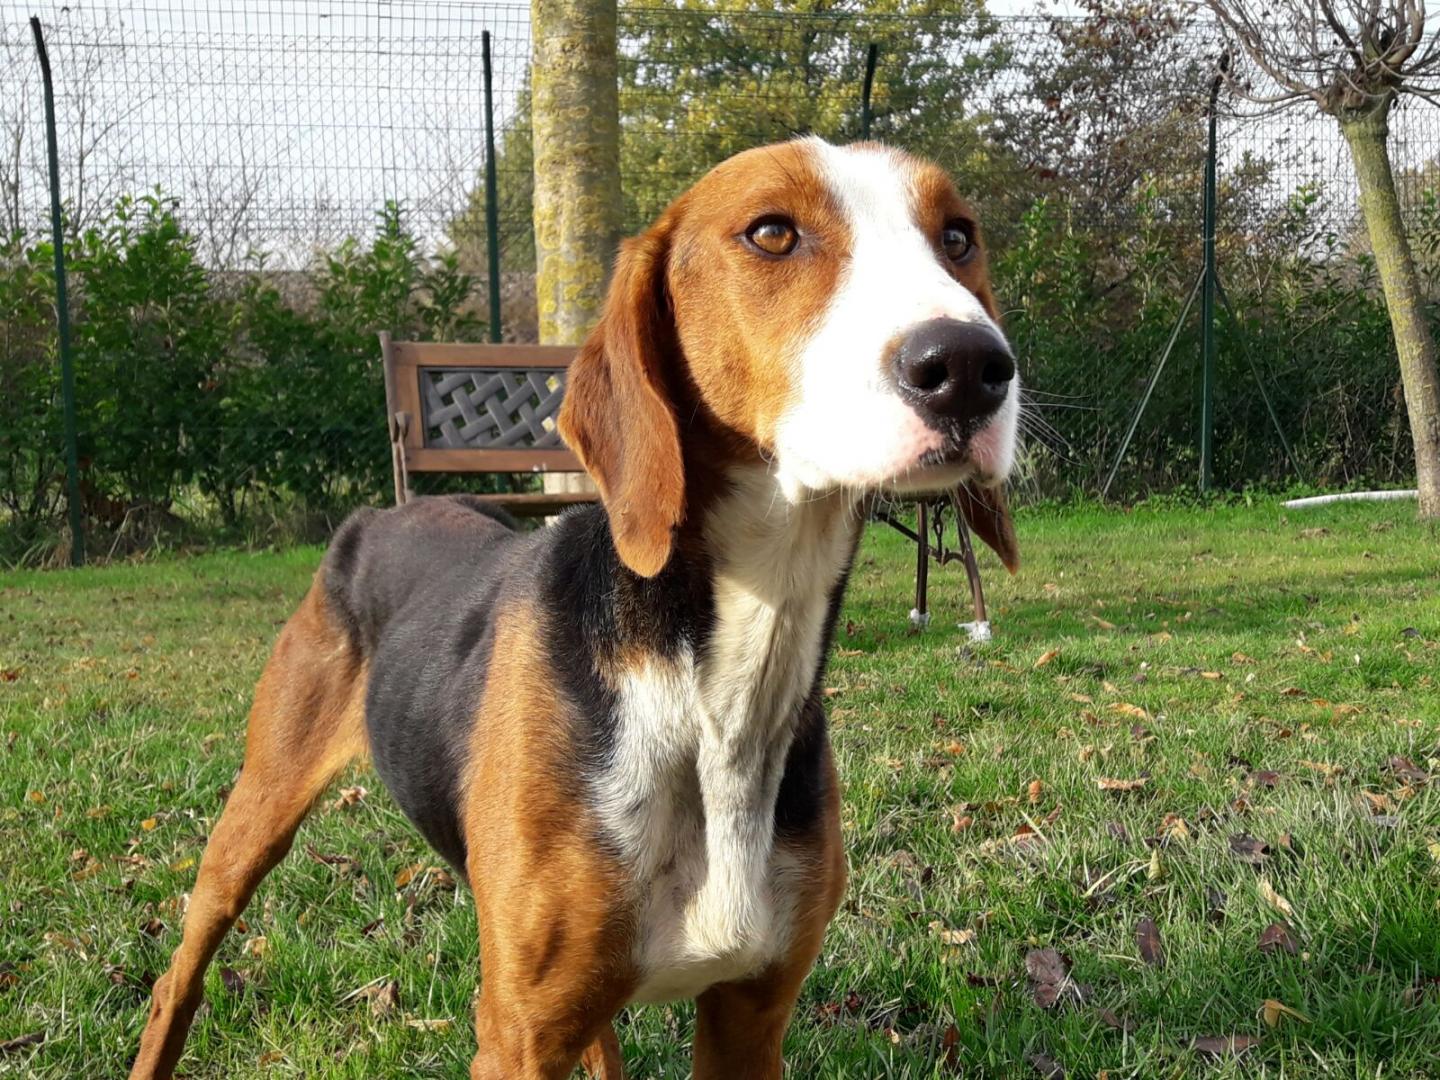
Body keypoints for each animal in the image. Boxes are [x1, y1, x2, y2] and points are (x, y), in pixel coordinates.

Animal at [129, 137, 1020, 1080]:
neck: (719, 687)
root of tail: (375, 515)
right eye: (772, 233)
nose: (968, 366)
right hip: (255, 815)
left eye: (958, 237)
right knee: (179, 972)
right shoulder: (516, 1037)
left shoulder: (750, 1018)